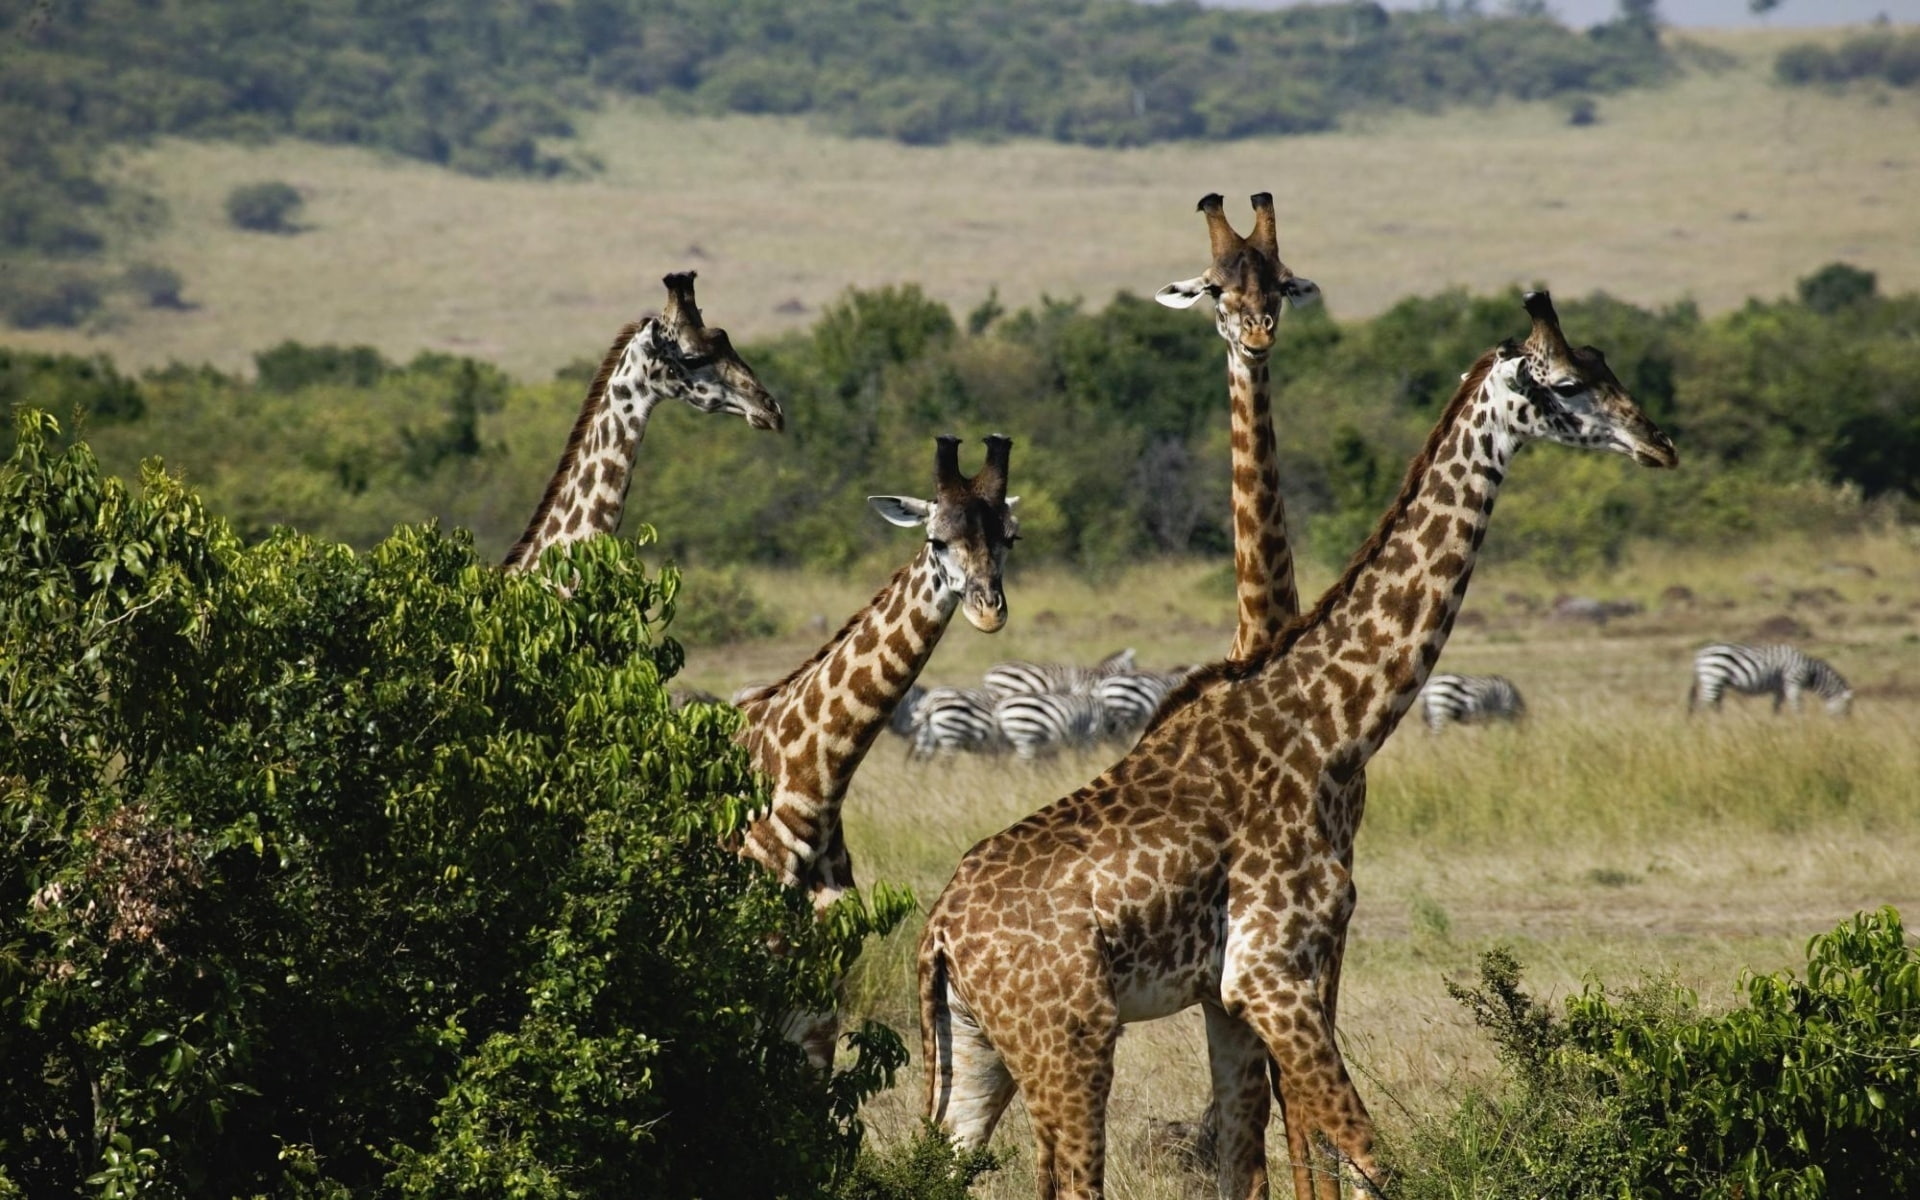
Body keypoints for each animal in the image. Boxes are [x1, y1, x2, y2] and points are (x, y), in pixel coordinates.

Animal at [917, 292, 1676, 1200]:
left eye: (1606, 364)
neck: (1329, 725)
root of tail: (940, 933)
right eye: (1565, 382)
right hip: (1070, 1038)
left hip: (977, 1054)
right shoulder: (1270, 971)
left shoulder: (1229, 995)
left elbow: (1251, 1166)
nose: (1659, 442)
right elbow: (1368, 1152)